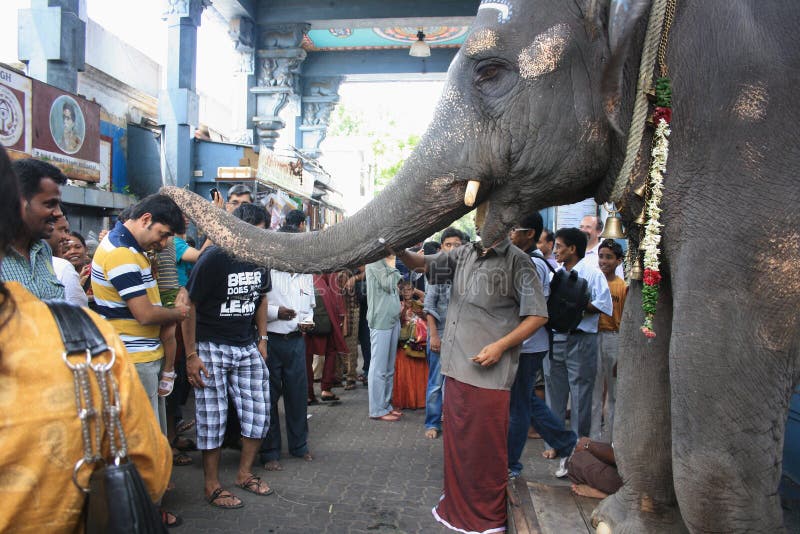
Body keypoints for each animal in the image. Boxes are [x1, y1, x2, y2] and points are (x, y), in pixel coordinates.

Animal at [164, 2, 800, 532]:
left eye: (490, 70)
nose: (177, 193)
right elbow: (649, 345)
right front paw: (618, 521)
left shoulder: (749, 148)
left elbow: (709, 367)